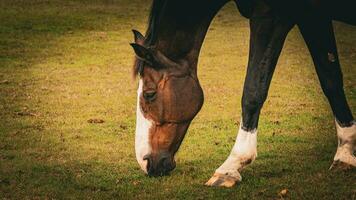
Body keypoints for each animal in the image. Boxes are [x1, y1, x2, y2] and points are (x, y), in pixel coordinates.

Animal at [129, 0, 354, 188]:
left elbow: (253, 91)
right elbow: (330, 79)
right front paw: (345, 153)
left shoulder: (270, 17)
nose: (144, 161)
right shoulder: (313, 17)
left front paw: (231, 165)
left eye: (149, 94)